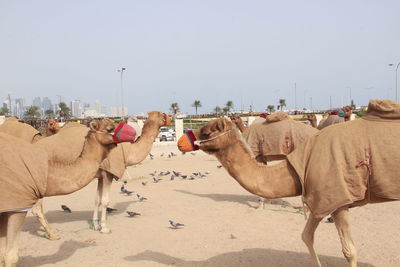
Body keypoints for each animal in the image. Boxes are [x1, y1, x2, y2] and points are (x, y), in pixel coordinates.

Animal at [0, 119, 135, 267]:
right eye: (110, 128)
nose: (133, 132)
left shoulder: (5, 210)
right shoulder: (16, 205)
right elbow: (10, 256)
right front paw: (104, 228)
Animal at [177, 100, 400, 267]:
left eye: (206, 132)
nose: (179, 142)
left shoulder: (337, 198)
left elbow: (349, 251)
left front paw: (261, 205)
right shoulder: (319, 199)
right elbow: (306, 236)